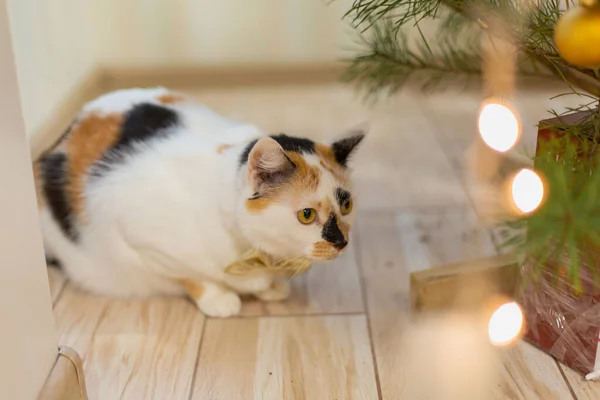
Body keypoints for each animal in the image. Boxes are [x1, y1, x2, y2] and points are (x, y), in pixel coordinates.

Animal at [35, 87, 364, 316]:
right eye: (306, 214)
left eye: (346, 205)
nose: (341, 241)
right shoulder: (142, 241)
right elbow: (190, 276)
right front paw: (219, 299)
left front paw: (271, 287)